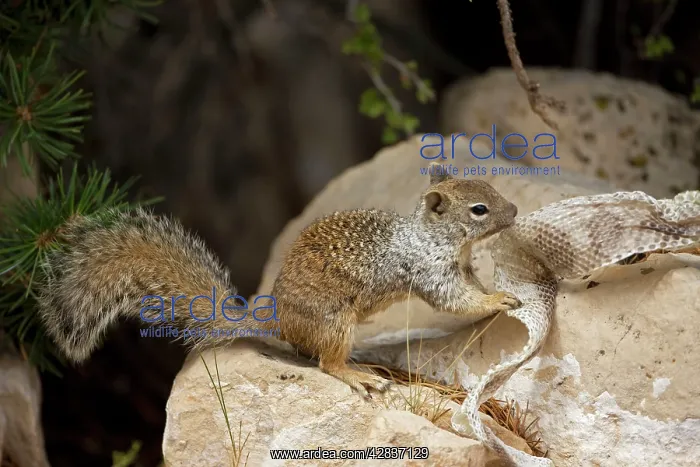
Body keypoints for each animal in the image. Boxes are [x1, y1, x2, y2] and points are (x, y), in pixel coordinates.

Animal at [36, 162, 521, 398]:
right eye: (478, 209)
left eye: (489, 188)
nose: (515, 211)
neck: (435, 237)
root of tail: (278, 321)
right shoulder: (429, 270)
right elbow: (456, 300)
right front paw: (497, 301)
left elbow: (471, 287)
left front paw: (497, 289)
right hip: (335, 321)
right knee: (327, 364)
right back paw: (359, 376)